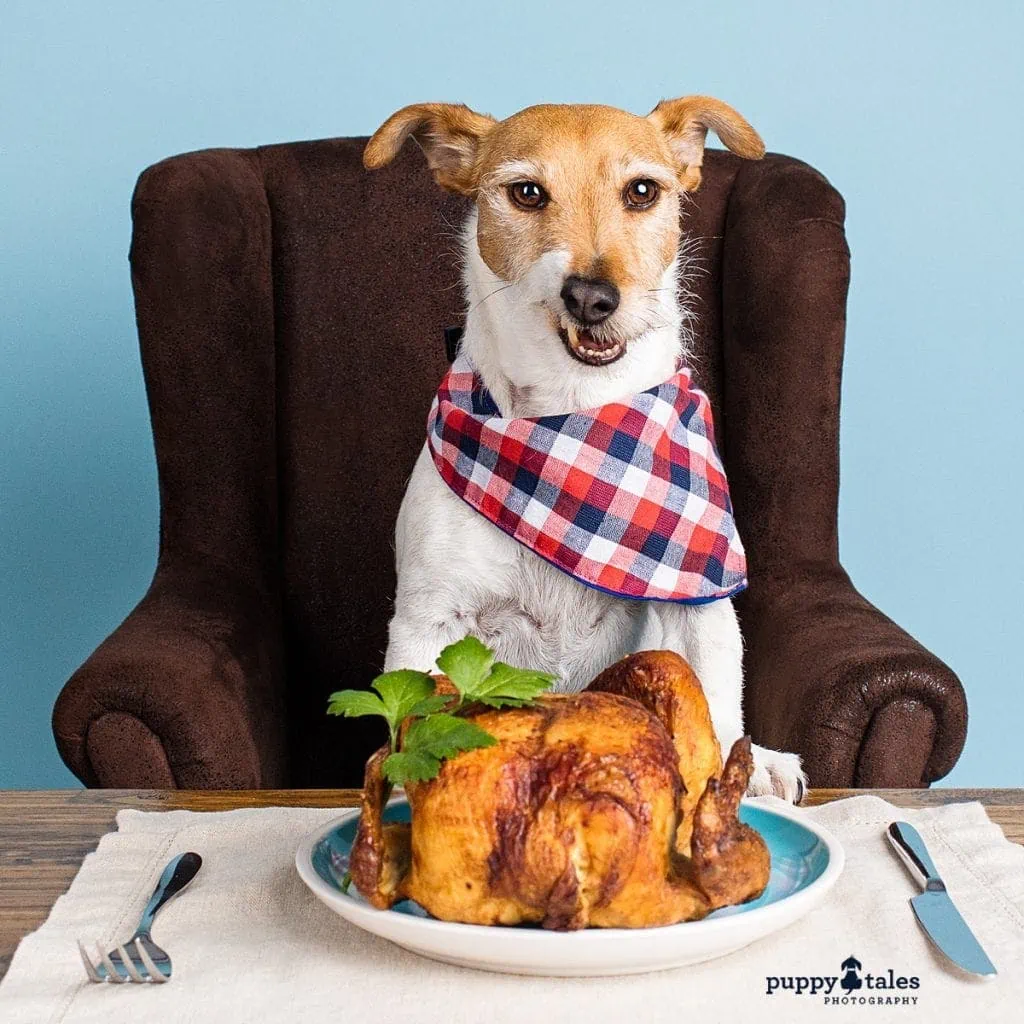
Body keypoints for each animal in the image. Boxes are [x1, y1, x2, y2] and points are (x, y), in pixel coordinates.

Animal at [364, 96, 802, 798]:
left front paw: (748, 767)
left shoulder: (699, 605)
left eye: (643, 191)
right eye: (526, 192)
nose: (592, 296)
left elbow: (715, 694)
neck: (579, 425)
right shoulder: (428, 620)